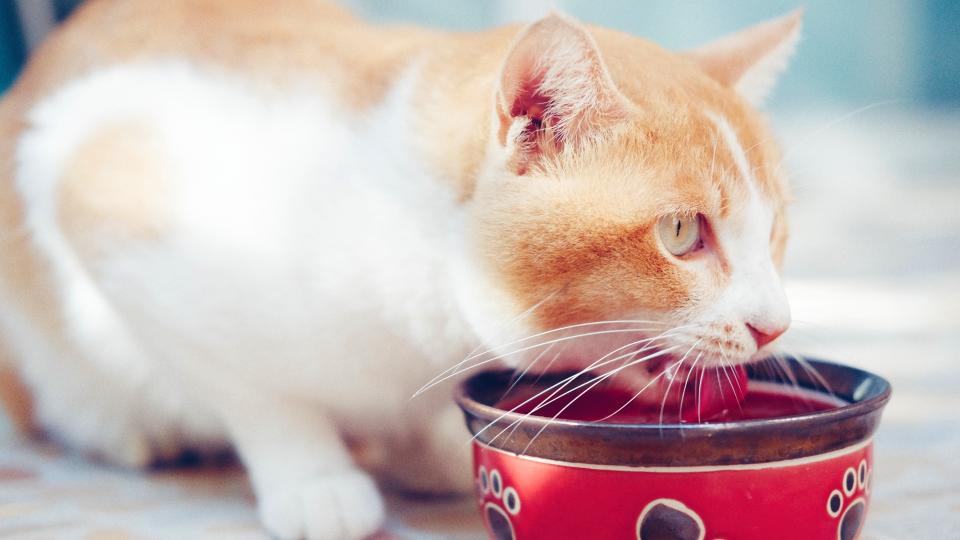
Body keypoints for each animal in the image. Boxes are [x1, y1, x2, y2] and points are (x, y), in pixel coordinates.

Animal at [0, 2, 800, 536]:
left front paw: (427, 451)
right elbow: (254, 392)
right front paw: (314, 476)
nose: (775, 325)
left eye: (773, 228)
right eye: (680, 233)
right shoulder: (93, 170)